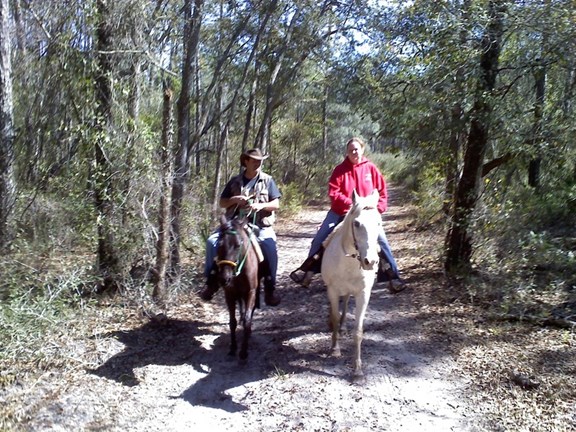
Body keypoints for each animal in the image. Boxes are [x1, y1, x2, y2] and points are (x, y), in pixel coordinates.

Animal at [215, 216, 262, 362]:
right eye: (219, 245)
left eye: (238, 245)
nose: (224, 279)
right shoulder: (229, 293)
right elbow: (232, 322)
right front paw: (233, 348)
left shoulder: (251, 292)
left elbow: (247, 320)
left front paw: (243, 352)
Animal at [320, 189, 382, 382]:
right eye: (357, 223)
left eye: (379, 222)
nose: (370, 262)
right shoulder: (332, 290)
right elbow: (334, 316)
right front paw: (335, 349)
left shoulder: (363, 294)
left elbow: (358, 331)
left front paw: (358, 370)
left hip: (349, 292)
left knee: (346, 302)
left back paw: (343, 325)